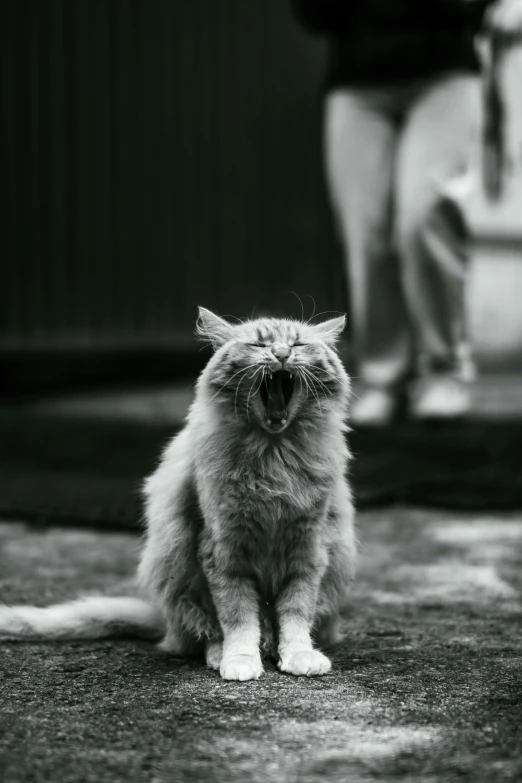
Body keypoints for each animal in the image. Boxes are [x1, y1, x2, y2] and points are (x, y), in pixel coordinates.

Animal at [0, 310, 354, 684]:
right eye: (259, 344)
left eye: (298, 344)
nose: (282, 354)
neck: (273, 458)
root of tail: (164, 619)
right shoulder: (224, 553)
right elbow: (238, 617)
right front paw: (241, 660)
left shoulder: (308, 550)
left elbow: (296, 613)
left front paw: (299, 655)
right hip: (179, 573)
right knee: (205, 634)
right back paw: (222, 654)